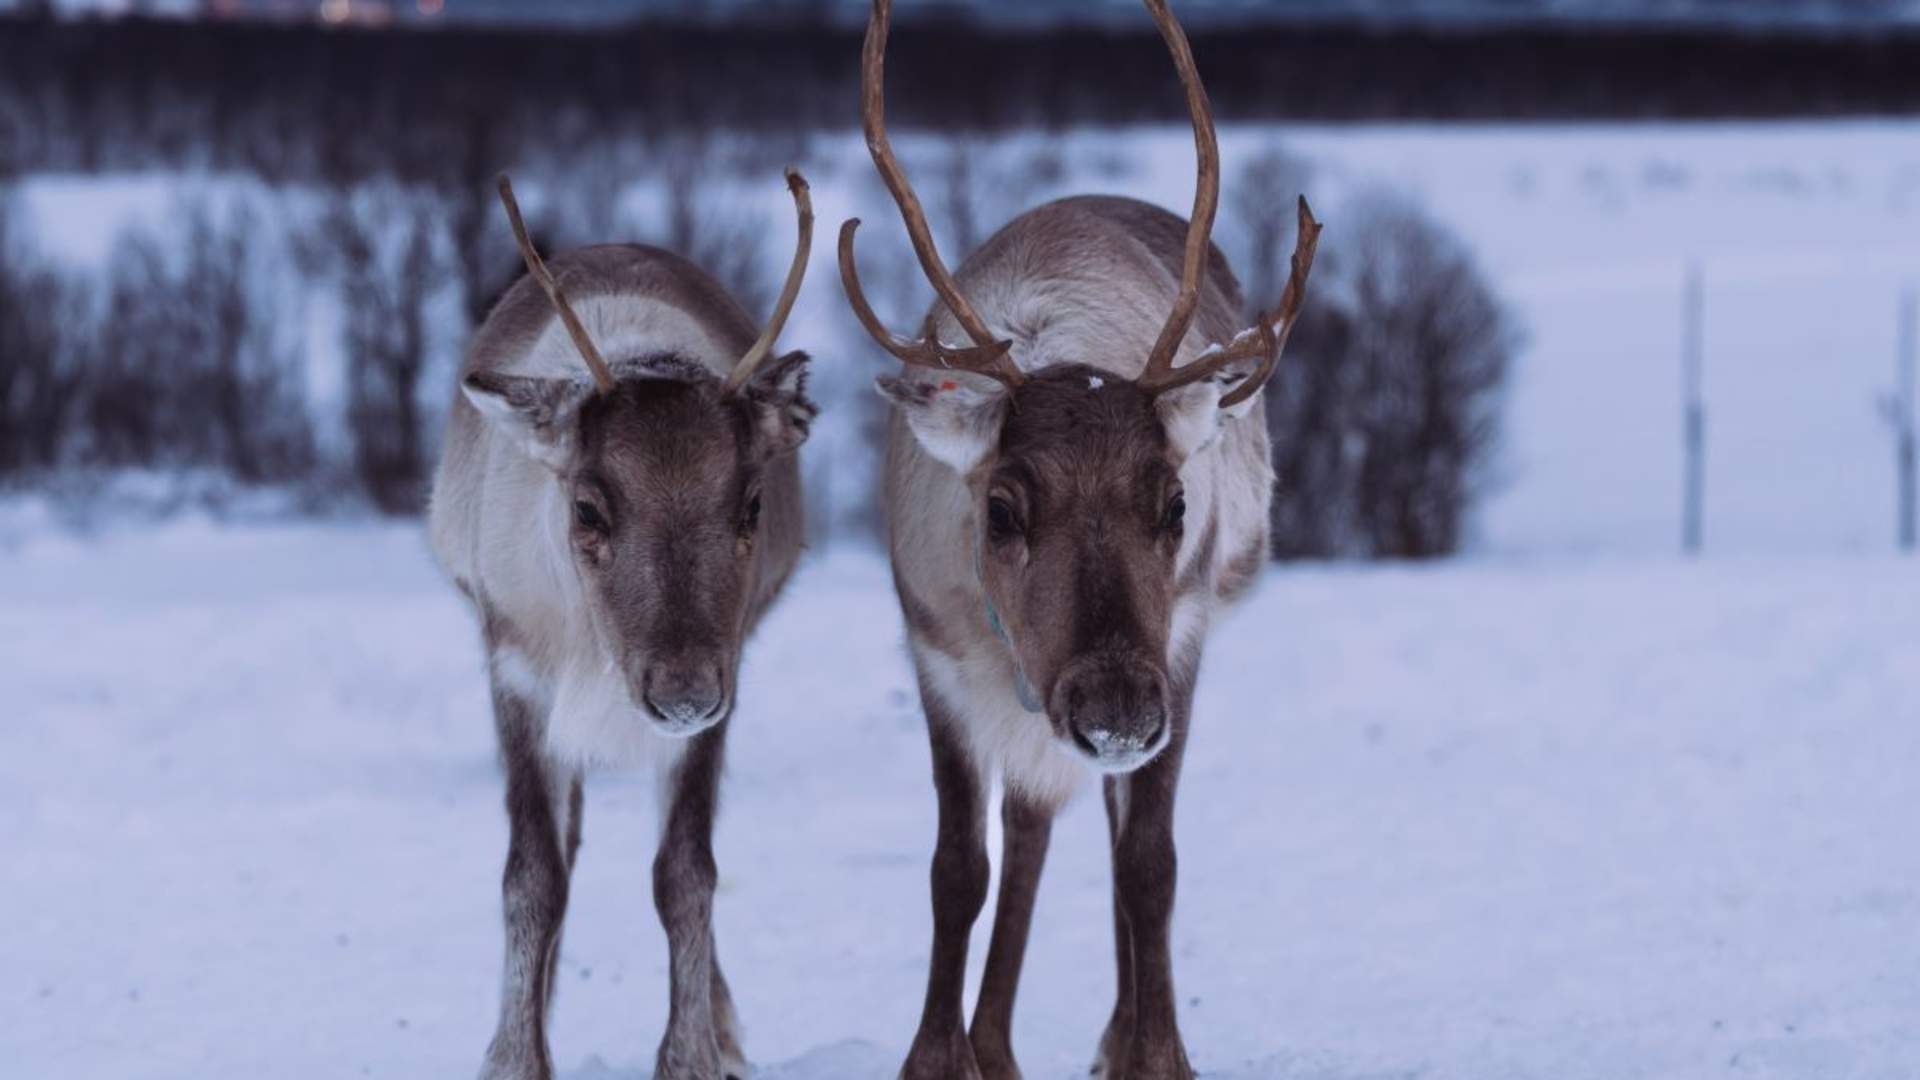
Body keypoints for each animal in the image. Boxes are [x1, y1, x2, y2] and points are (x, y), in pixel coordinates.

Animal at [427, 169, 817, 1080]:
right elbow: (533, 875)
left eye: (752, 504)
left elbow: (686, 872)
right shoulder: (515, 669)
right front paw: (514, 1056)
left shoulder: (723, 676)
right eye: (588, 508)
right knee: (563, 852)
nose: (679, 693)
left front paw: (695, 1053)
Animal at [837, 1, 1321, 1077]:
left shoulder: (1176, 642)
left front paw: (1155, 1052)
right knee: (1031, 826)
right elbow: (957, 866)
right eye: (1001, 511)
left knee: (1104, 828)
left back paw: (1103, 1033)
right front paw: (940, 1055)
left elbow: (1148, 862)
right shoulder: (935, 651)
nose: (1116, 710)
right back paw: (996, 1042)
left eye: (1174, 504)